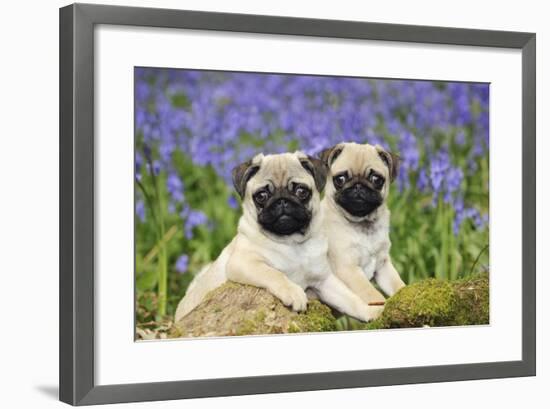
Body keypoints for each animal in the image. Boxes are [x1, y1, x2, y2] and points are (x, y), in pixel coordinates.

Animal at [177, 150, 384, 322]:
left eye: (301, 191)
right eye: (261, 196)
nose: (282, 201)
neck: (292, 242)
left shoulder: (324, 281)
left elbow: (351, 300)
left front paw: (371, 311)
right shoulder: (243, 263)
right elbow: (274, 273)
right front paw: (294, 292)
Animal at [322, 143, 408, 306]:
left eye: (376, 179)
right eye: (340, 179)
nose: (358, 186)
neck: (363, 224)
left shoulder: (383, 266)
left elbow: (398, 284)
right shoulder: (349, 269)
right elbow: (371, 293)